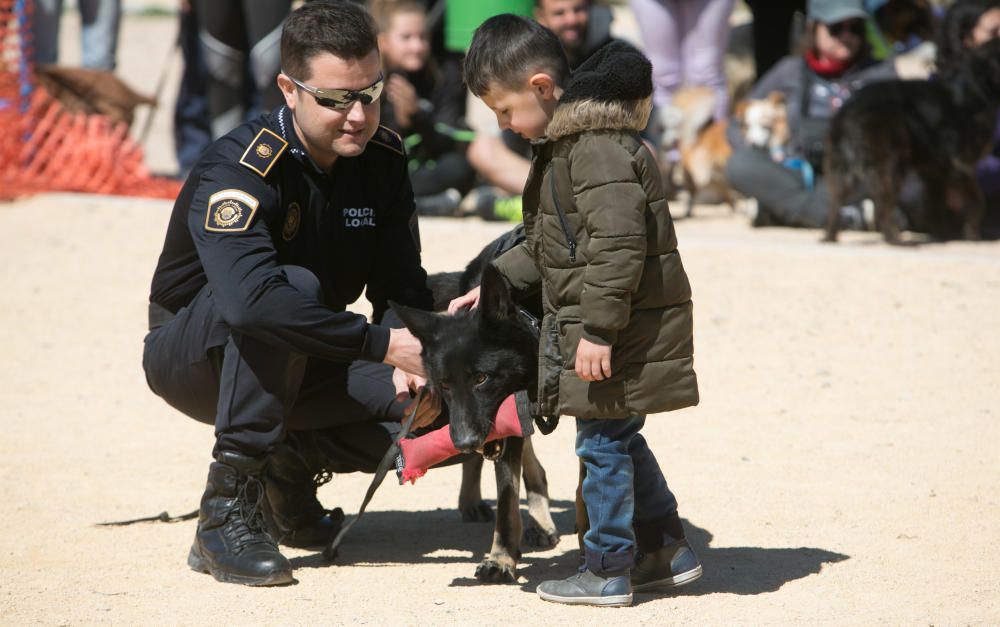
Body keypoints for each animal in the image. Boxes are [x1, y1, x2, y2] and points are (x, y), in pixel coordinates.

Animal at [392, 231, 564, 584]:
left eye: (482, 378)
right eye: (443, 384)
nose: (463, 442)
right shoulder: (504, 415)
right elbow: (507, 497)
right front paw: (502, 559)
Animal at [824, 36, 1000, 243]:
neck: (977, 87)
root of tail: (847, 110)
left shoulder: (935, 172)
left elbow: (935, 204)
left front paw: (941, 235)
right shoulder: (961, 165)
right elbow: (976, 201)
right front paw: (972, 235)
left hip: (845, 168)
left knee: (835, 204)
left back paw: (830, 238)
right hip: (891, 163)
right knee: (882, 206)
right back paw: (896, 241)